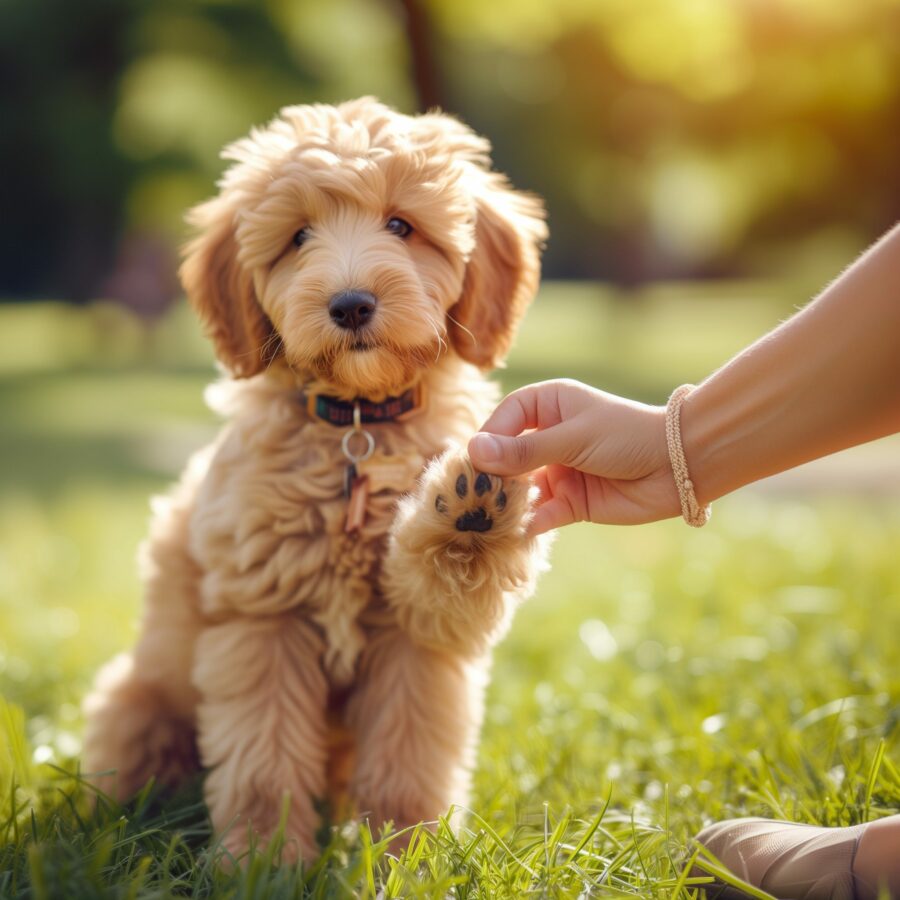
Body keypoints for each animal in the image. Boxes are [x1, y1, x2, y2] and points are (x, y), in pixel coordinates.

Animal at [82, 95, 548, 860]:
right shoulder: (263, 614)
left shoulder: (418, 632)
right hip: (139, 698)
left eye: (401, 225)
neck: (356, 423)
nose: (351, 304)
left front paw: (410, 856)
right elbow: (264, 754)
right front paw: (264, 861)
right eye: (298, 236)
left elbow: (411, 750)